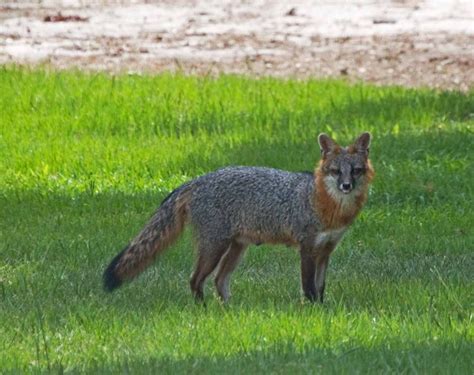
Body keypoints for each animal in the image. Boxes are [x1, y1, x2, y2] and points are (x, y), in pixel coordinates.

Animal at [103, 132, 374, 302]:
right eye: (336, 171)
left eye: (355, 171)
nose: (346, 186)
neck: (329, 206)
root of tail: (197, 180)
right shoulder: (307, 249)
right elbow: (308, 288)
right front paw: (311, 311)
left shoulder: (326, 250)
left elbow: (321, 288)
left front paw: (322, 308)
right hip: (214, 248)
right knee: (195, 280)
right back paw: (203, 311)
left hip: (236, 249)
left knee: (218, 281)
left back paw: (228, 311)